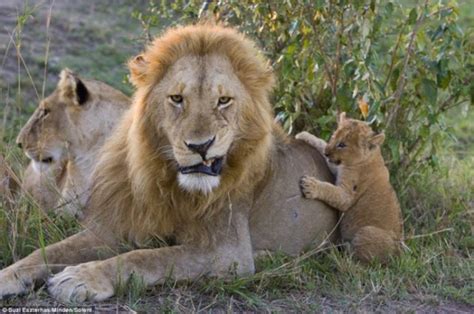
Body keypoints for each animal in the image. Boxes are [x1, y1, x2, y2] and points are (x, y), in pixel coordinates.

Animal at [298, 112, 402, 262]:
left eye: (342, 145)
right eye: (333, 137)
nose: (327, 153)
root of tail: (399, 255)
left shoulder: (347, 195)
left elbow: (330, 190)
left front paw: (310, 185)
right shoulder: (337, 167)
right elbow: (320, 142)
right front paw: (304, 135)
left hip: (366, 232)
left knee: (358, 261)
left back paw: (337, 250)